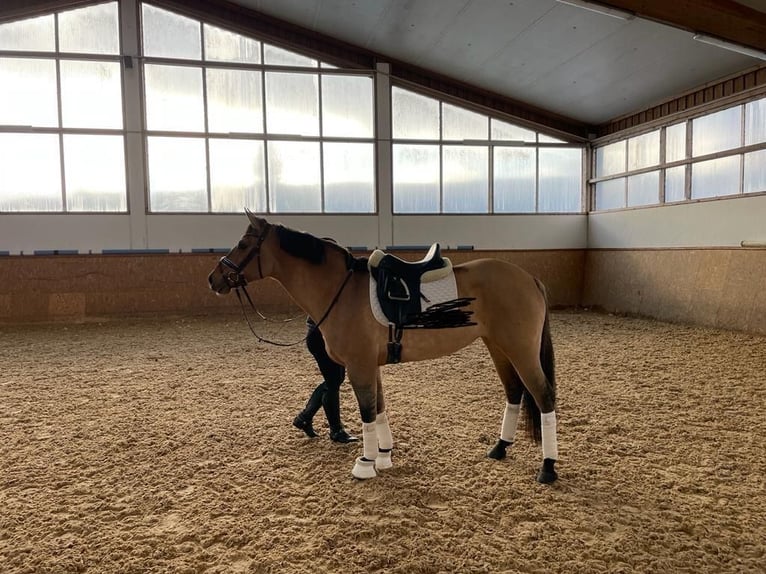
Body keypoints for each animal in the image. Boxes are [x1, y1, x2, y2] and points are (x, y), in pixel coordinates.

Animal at [207, 210, 560, 482]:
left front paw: (365, 464)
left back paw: (548, 467)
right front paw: (384, 455)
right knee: (514, 392)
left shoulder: (359, 365)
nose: (214, 278)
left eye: (244, 244)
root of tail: (529, 278)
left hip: (521, 350)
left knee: (543, 396)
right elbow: (378, 407)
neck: (340, 290)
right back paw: (500, 448)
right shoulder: (370, 365)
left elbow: (366, 411)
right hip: (499, 347)